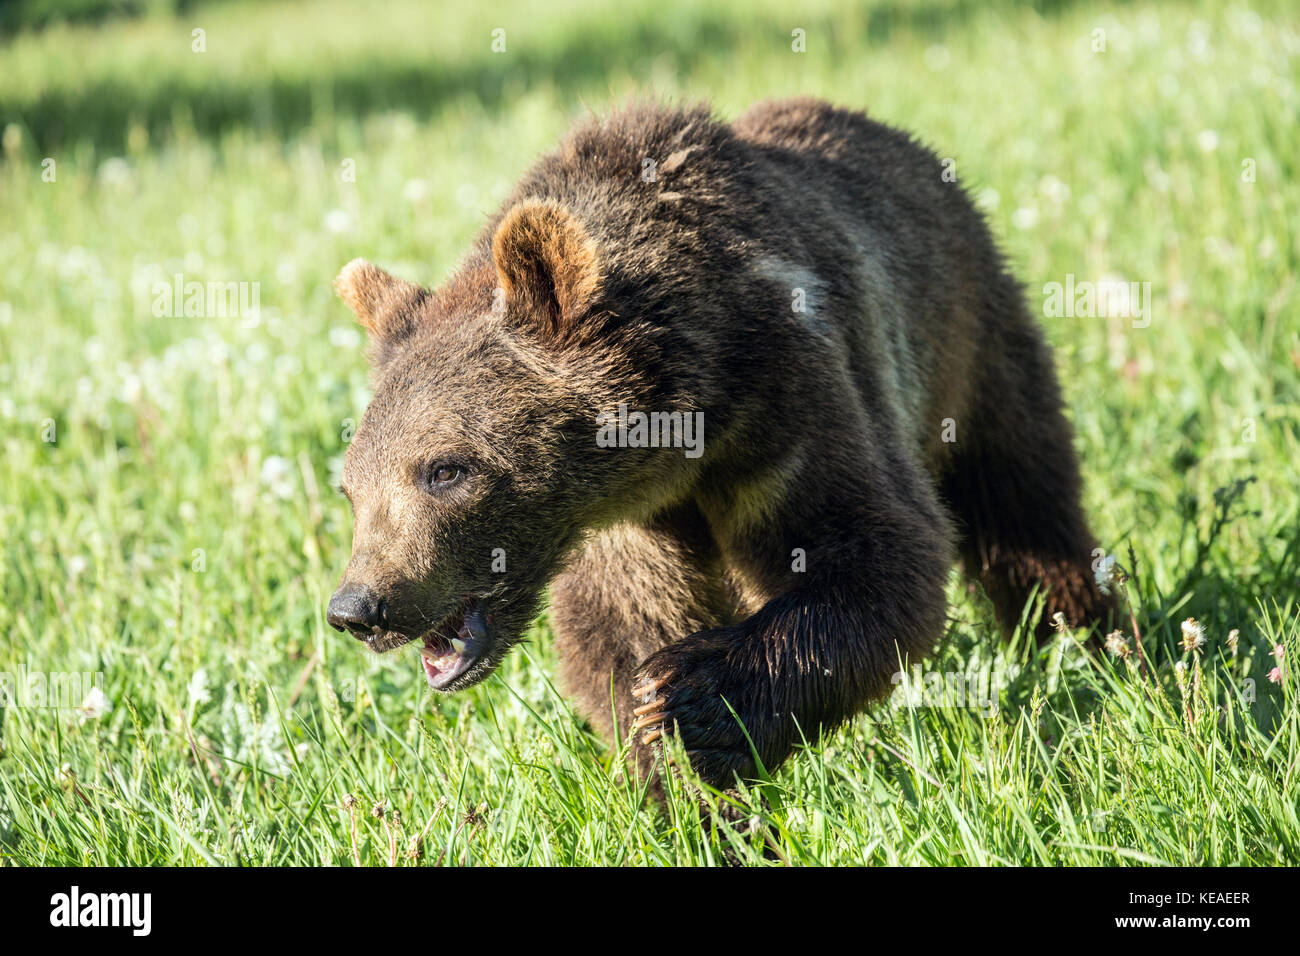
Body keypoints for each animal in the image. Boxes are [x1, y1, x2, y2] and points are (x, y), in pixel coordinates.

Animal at [327, 97, 1118, 790]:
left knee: (1024, 501)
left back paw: (1092, 642)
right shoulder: (622, 519)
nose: (359, 608)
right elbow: (622, 630)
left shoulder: (791, 402)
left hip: (971, 342)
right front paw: (680, 777)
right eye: (353, 487)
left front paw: (700, 703)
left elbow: (875, 553)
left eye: (444, 470)